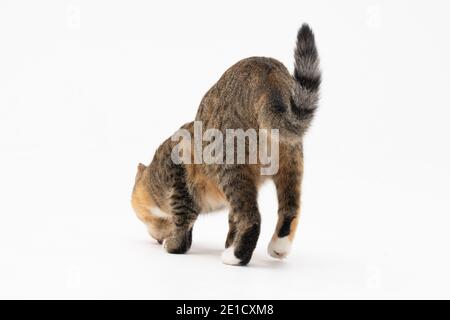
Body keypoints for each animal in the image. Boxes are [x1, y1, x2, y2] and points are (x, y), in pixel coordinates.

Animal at [130, 24, 320, 264]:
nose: (155, 238)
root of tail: (267, 75)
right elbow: (232, 220)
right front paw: (229, 241)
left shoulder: (179, 172)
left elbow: (183, 219)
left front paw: (173, 245)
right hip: (291, 159)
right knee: (290, 208)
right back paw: (278, 247)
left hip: (228, 164)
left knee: (252, 217)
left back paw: (236, 257)